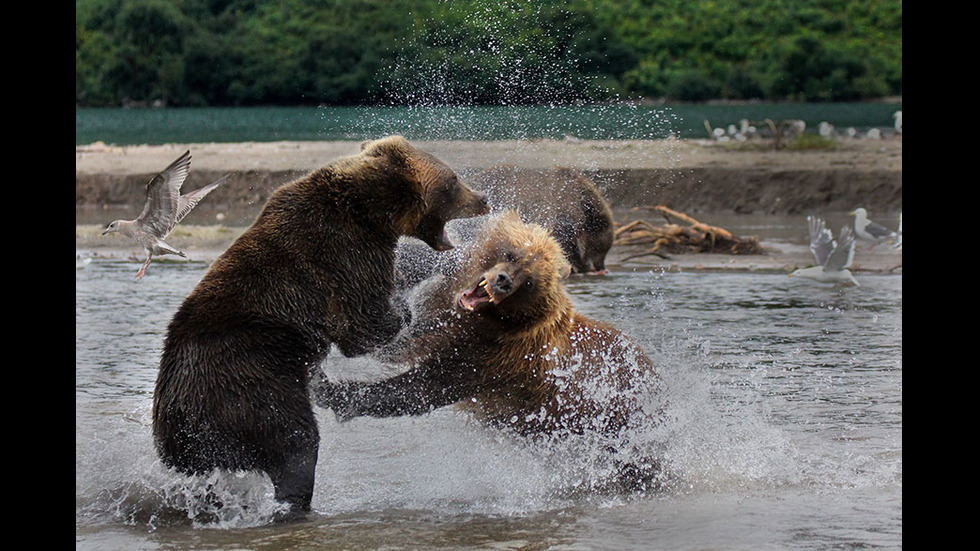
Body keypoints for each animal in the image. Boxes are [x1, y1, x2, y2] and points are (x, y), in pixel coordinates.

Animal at [154, 136, 490, 516]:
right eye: (453, 182)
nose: (482, 198)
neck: (372, 209)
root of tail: (176, 413)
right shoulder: (343, 253)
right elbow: (363, 324)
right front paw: (408, 304)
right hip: (251, 382)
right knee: (295, 442)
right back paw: (297, 500)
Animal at [318, 209, 664, 442]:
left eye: (529, 281)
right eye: (512, 253)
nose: (502, 281)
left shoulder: (493, 357)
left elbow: (418, 388)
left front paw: (331, 390)